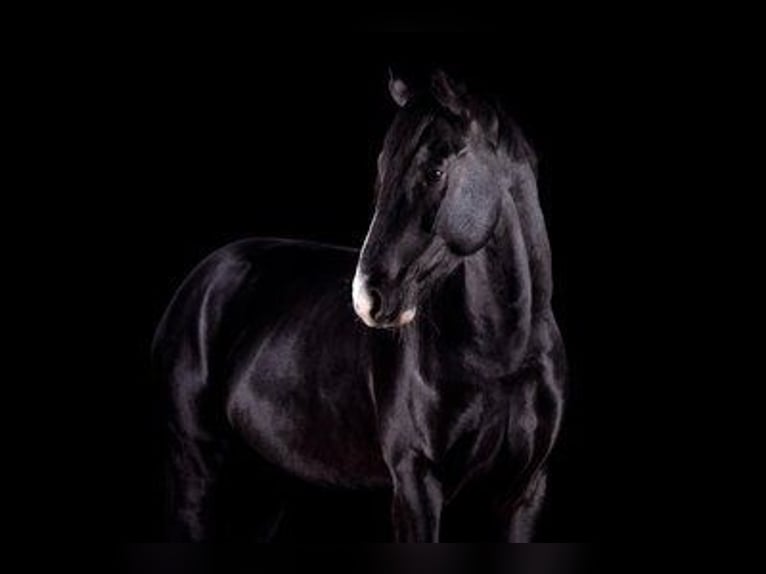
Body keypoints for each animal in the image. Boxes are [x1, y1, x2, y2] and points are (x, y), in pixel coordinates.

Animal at [153, 70, 566, 542]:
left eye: (435, 171)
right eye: (382, 170)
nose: (367, 298)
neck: (502, 355)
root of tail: (201, 279)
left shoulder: (524, 491)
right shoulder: (416, 484)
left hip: (268, 483)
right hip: (194, 465)